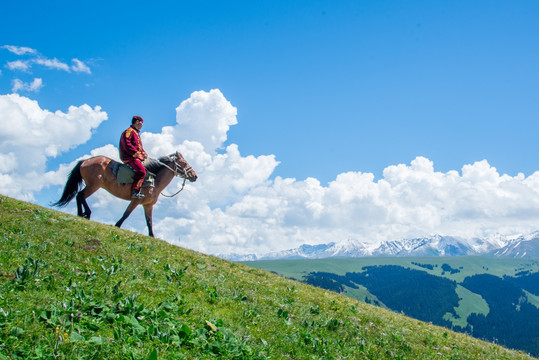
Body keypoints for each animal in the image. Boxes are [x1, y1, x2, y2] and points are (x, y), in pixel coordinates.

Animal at [51, 151, 196, 238]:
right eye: (184, 163)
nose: (195, 176)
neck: (155, 182)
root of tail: (86, 161)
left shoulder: (148, 205)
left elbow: (149, 222)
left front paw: (152, 236)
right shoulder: (136, 201)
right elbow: (126, 214)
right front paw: (117, 225)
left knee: (78, 196)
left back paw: (81, 214)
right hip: (94, 185)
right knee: (80, 195)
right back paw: (85, 213)